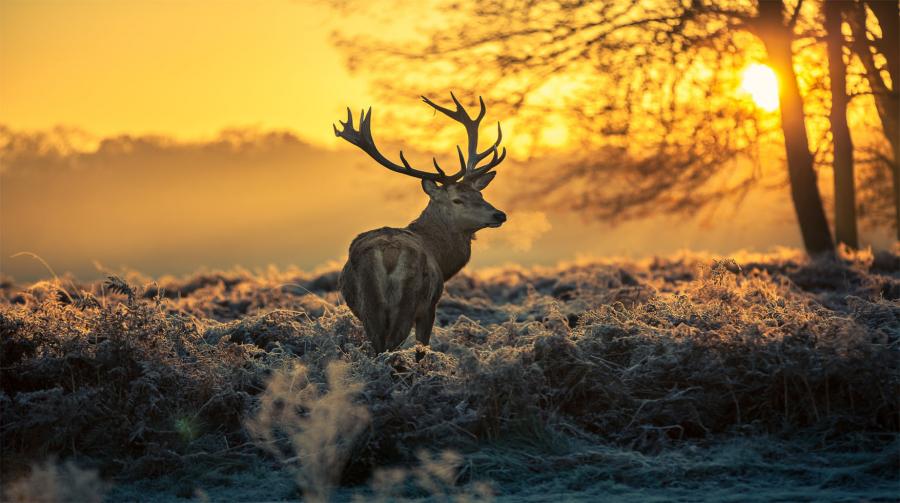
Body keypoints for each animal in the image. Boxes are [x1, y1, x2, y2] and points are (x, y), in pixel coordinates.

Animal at [334, 93, 510, 358]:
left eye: (480, 195)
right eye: (457, 200)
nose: (499, 215)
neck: (442, 257)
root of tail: (388, 255)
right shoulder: (430, 306)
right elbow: (422, 348)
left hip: (369, 307)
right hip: (408, 302)